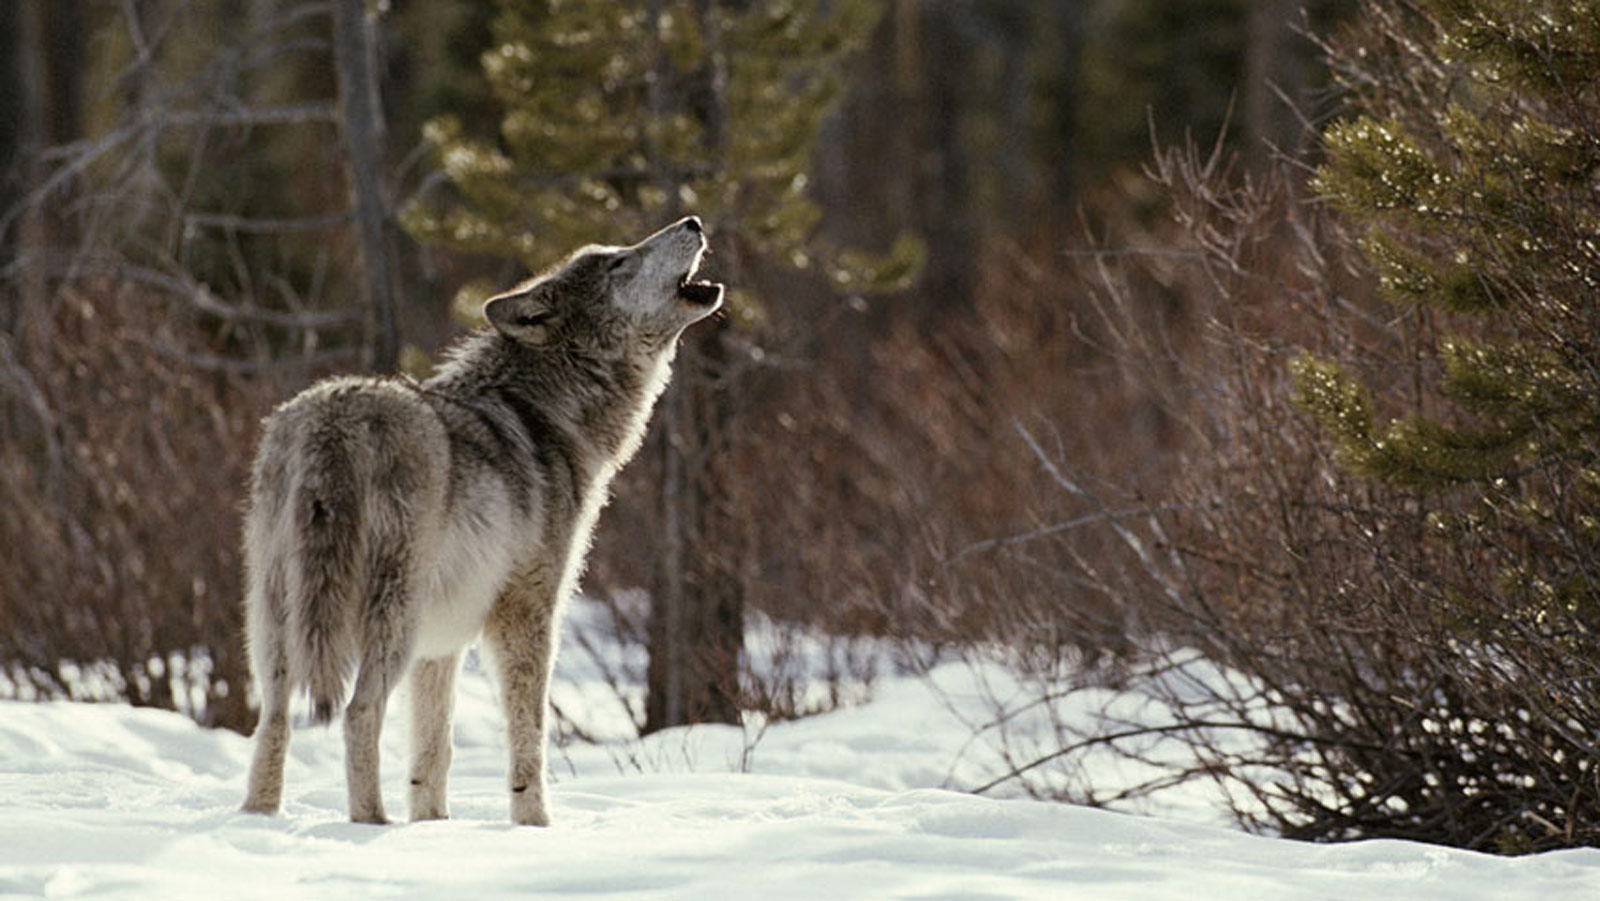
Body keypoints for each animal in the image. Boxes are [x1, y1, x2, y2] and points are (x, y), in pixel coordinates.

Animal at [238, 216, 726, 825]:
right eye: (619, 262)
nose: (694, 221)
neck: (547, 415)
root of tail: (330, 422)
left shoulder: (441, 646)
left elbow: (433, 752)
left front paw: (435, 827)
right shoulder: (529, 611)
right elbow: (530, 737)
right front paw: (534, 825)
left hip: (276, 624)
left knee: (273, 721)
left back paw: (259, 818)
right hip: (390, 621)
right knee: (358, 712)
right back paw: (371, 825)